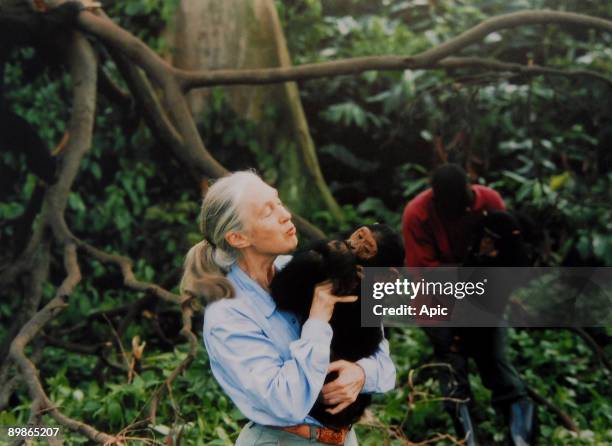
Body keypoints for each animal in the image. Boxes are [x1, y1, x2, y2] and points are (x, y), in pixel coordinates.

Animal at [270, 225, 404, 426]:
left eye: (367, 249)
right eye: (360, 236)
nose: (351, 245)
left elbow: (365, 339)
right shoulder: (322, 243)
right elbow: (283, 292)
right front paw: (339, 254)